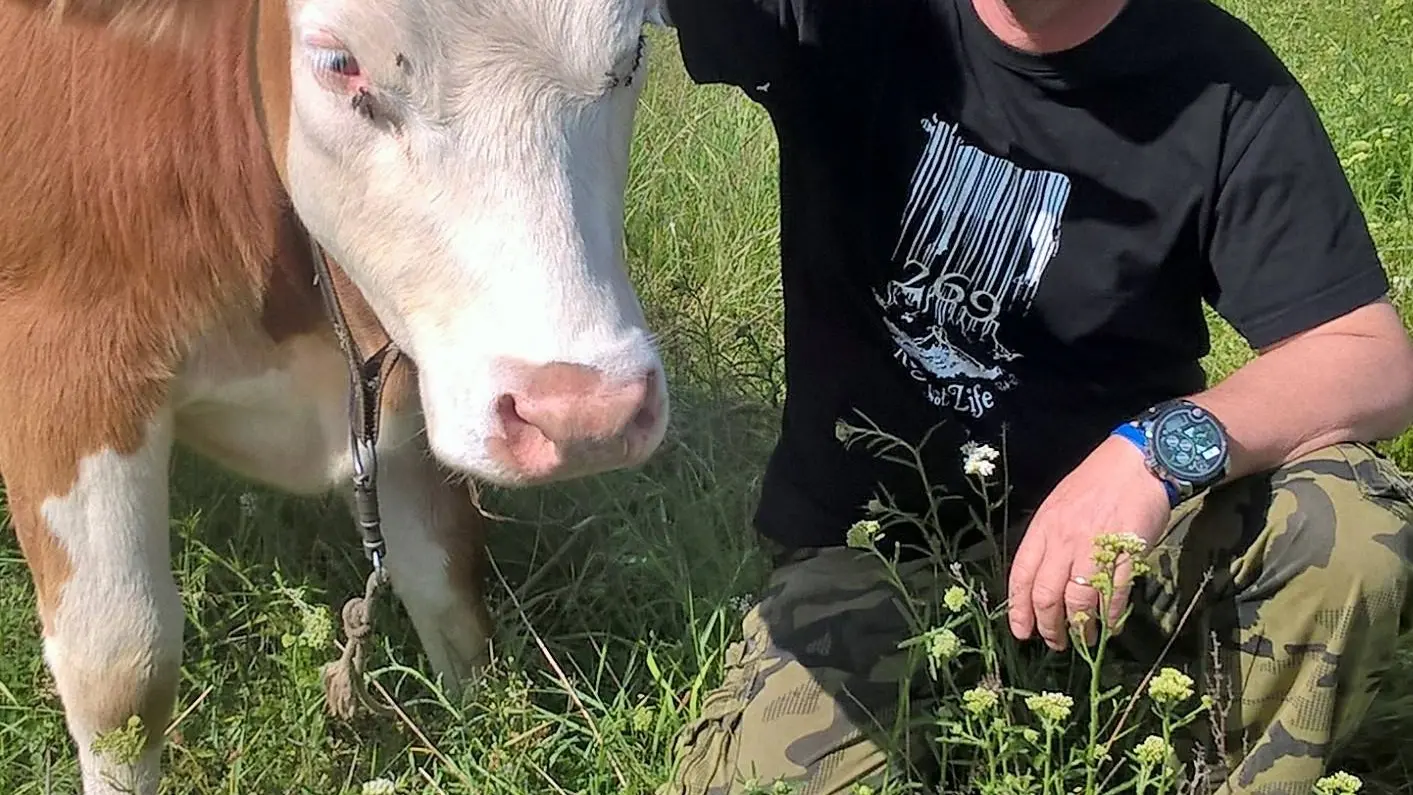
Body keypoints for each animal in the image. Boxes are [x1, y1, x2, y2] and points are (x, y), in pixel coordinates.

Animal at [0, 0, 669, 790]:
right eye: (337, 61)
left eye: (632, 56)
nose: (584, 414)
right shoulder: (65, 365)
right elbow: (121, 668)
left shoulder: (403, 392)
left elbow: (448, 585)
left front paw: (483, 740)